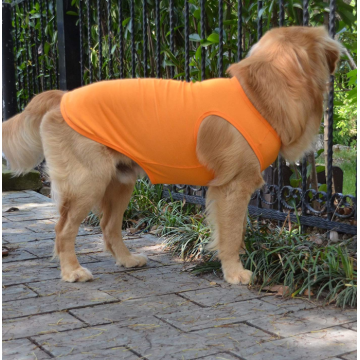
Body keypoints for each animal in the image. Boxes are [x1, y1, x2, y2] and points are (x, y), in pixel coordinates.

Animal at [2, 26, 340, 284]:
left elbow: (237, 230)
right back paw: (72, 271)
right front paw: (235, 272)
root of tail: (63, 97)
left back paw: (126, 259)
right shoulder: (233, 187)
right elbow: (231, 234)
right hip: (88, 183)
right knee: (63, 230)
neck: (257, 96)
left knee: (108, 227)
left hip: (120, 182)